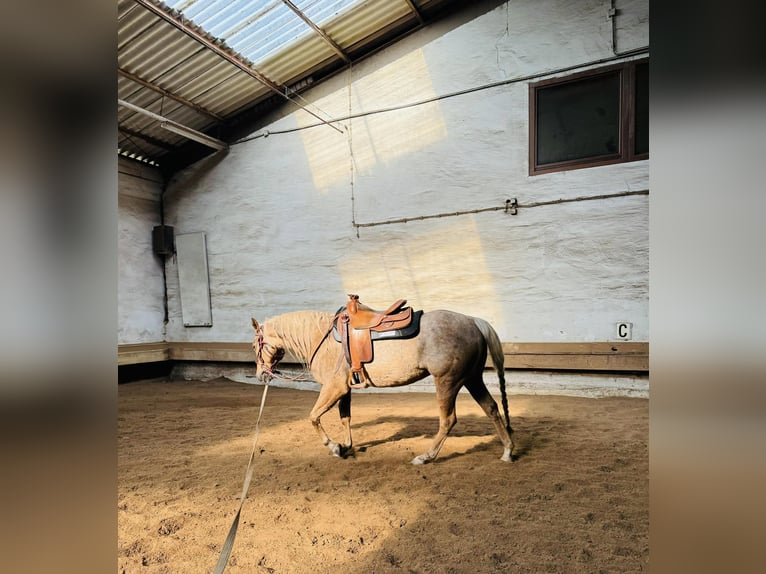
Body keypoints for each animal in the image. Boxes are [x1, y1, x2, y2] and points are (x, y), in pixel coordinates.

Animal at [254, 308, 516, 466]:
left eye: (256, 344)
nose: (260, 375)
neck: (324, 339)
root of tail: (473, 321)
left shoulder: (333, 388)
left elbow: (314, 417)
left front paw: (335, 447)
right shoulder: (344, 390)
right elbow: (345, 417)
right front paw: (347, 446)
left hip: (447, 382)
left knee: (448, 420)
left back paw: (425, 457)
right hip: (472, 379)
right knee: (492, 408)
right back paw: (507, 451)